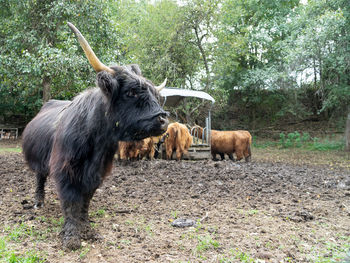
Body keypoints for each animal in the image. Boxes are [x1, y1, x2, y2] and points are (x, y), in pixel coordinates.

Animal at [21, 22, 169, 250]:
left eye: (155, 94)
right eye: (131, 92)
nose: (163, 119)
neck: (96, 143)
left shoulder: (97, 172)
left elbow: (85, 201)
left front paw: (87, 229)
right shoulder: (65, 170)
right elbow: (71, 201)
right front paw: (71, 236)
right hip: (39, 161)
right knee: (39, 177)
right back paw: (38, 201)